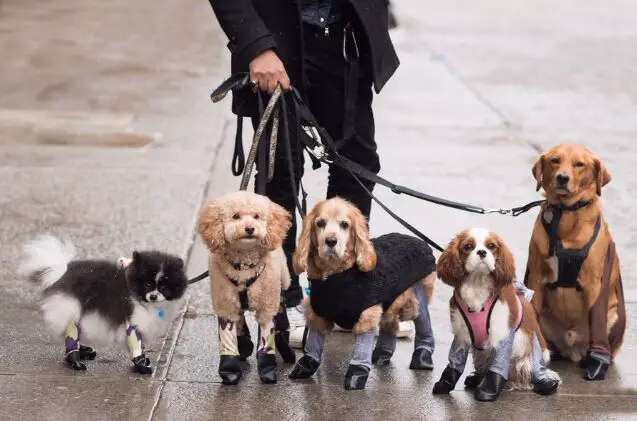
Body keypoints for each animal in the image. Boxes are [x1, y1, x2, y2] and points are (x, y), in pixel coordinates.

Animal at [17, 235, 186, 372]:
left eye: (163, 286)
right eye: (147, 285)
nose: (153, 296)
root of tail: (62, 270)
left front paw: (143, 360)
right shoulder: (133, 321)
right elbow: (136, 344)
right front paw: (141, 365)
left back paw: (84, 350)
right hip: (71, 306)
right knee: (72, 331)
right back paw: (75, 361)